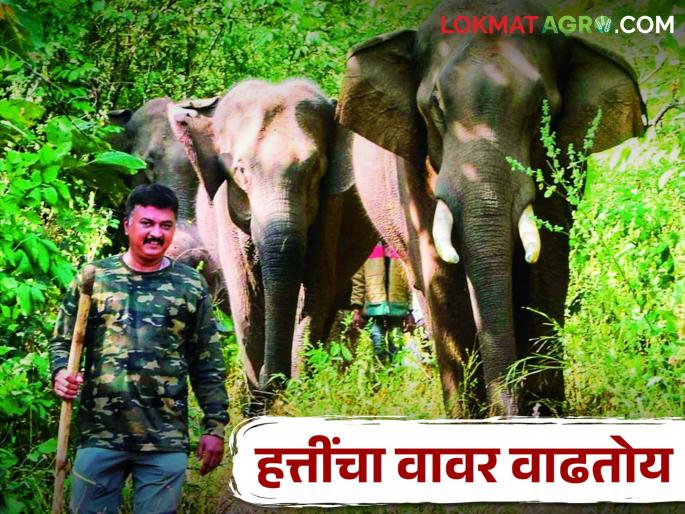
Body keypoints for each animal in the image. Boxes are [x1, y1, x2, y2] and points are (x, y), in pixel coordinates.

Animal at [167, 79, 377, 404]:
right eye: (240, 171)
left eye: (315, 169)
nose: (274, 378)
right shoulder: (225, 214)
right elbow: (246, 299)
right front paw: (260, 403)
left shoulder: (331, 212)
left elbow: (313, 292)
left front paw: (297, 398)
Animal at [336, 0, 646, 416]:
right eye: (435, 105)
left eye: (543, 108)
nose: (509, 413)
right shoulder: (412, 172)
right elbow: (440, 275)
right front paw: (468, 415)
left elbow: (546, 270)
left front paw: (545, 411)